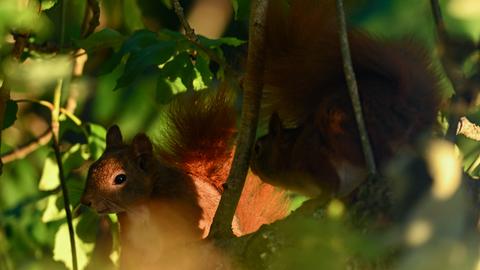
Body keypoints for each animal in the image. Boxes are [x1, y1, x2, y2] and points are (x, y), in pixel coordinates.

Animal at [251, 0, 442, 198]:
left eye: (257, 148)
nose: (251, 167)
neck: (291, 150)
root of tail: (406, 104)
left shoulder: (313, 156)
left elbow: (331, 182)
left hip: (347, 125)